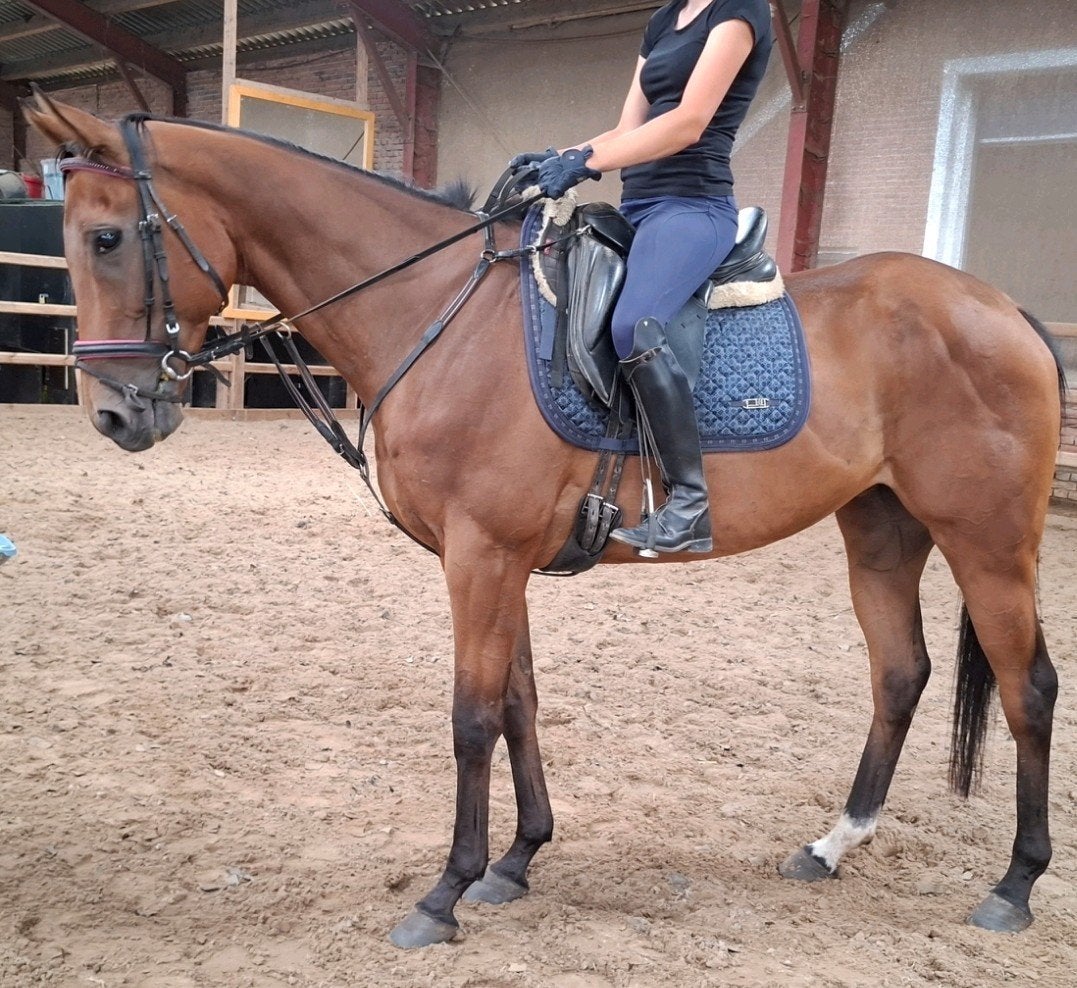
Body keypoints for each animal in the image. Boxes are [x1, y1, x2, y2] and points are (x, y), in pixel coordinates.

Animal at [25, 93, 1065, 949]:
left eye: (108, 239)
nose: (113, 414)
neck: (434, 313)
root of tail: (1000, 306)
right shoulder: (499, 558)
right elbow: (520, 702)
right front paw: (517, 861)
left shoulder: (480, 557)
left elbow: (472, 717)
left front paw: (445, 893)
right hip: (881, 528)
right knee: (900, 674)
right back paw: (830, 846)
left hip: (987, 540)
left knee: (1028, 690)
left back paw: (1013, 886)